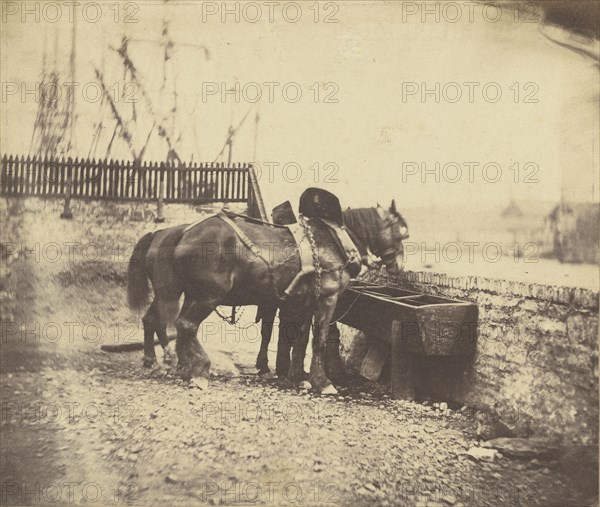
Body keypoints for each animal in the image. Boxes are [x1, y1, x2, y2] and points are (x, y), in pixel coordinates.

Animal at [128, 201, 406, 392]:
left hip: (188, 293)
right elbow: (319, 341)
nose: (399, 267)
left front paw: (298, 377)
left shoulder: (305, 302)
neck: (331, 242)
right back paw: (198, 369)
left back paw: (173, 364)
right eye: (402, 231)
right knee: (184, 324)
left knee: (159, 321)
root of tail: (182, 232)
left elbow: (301, 340)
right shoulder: (326, 300)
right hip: (207, 295)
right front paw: (322, 381)